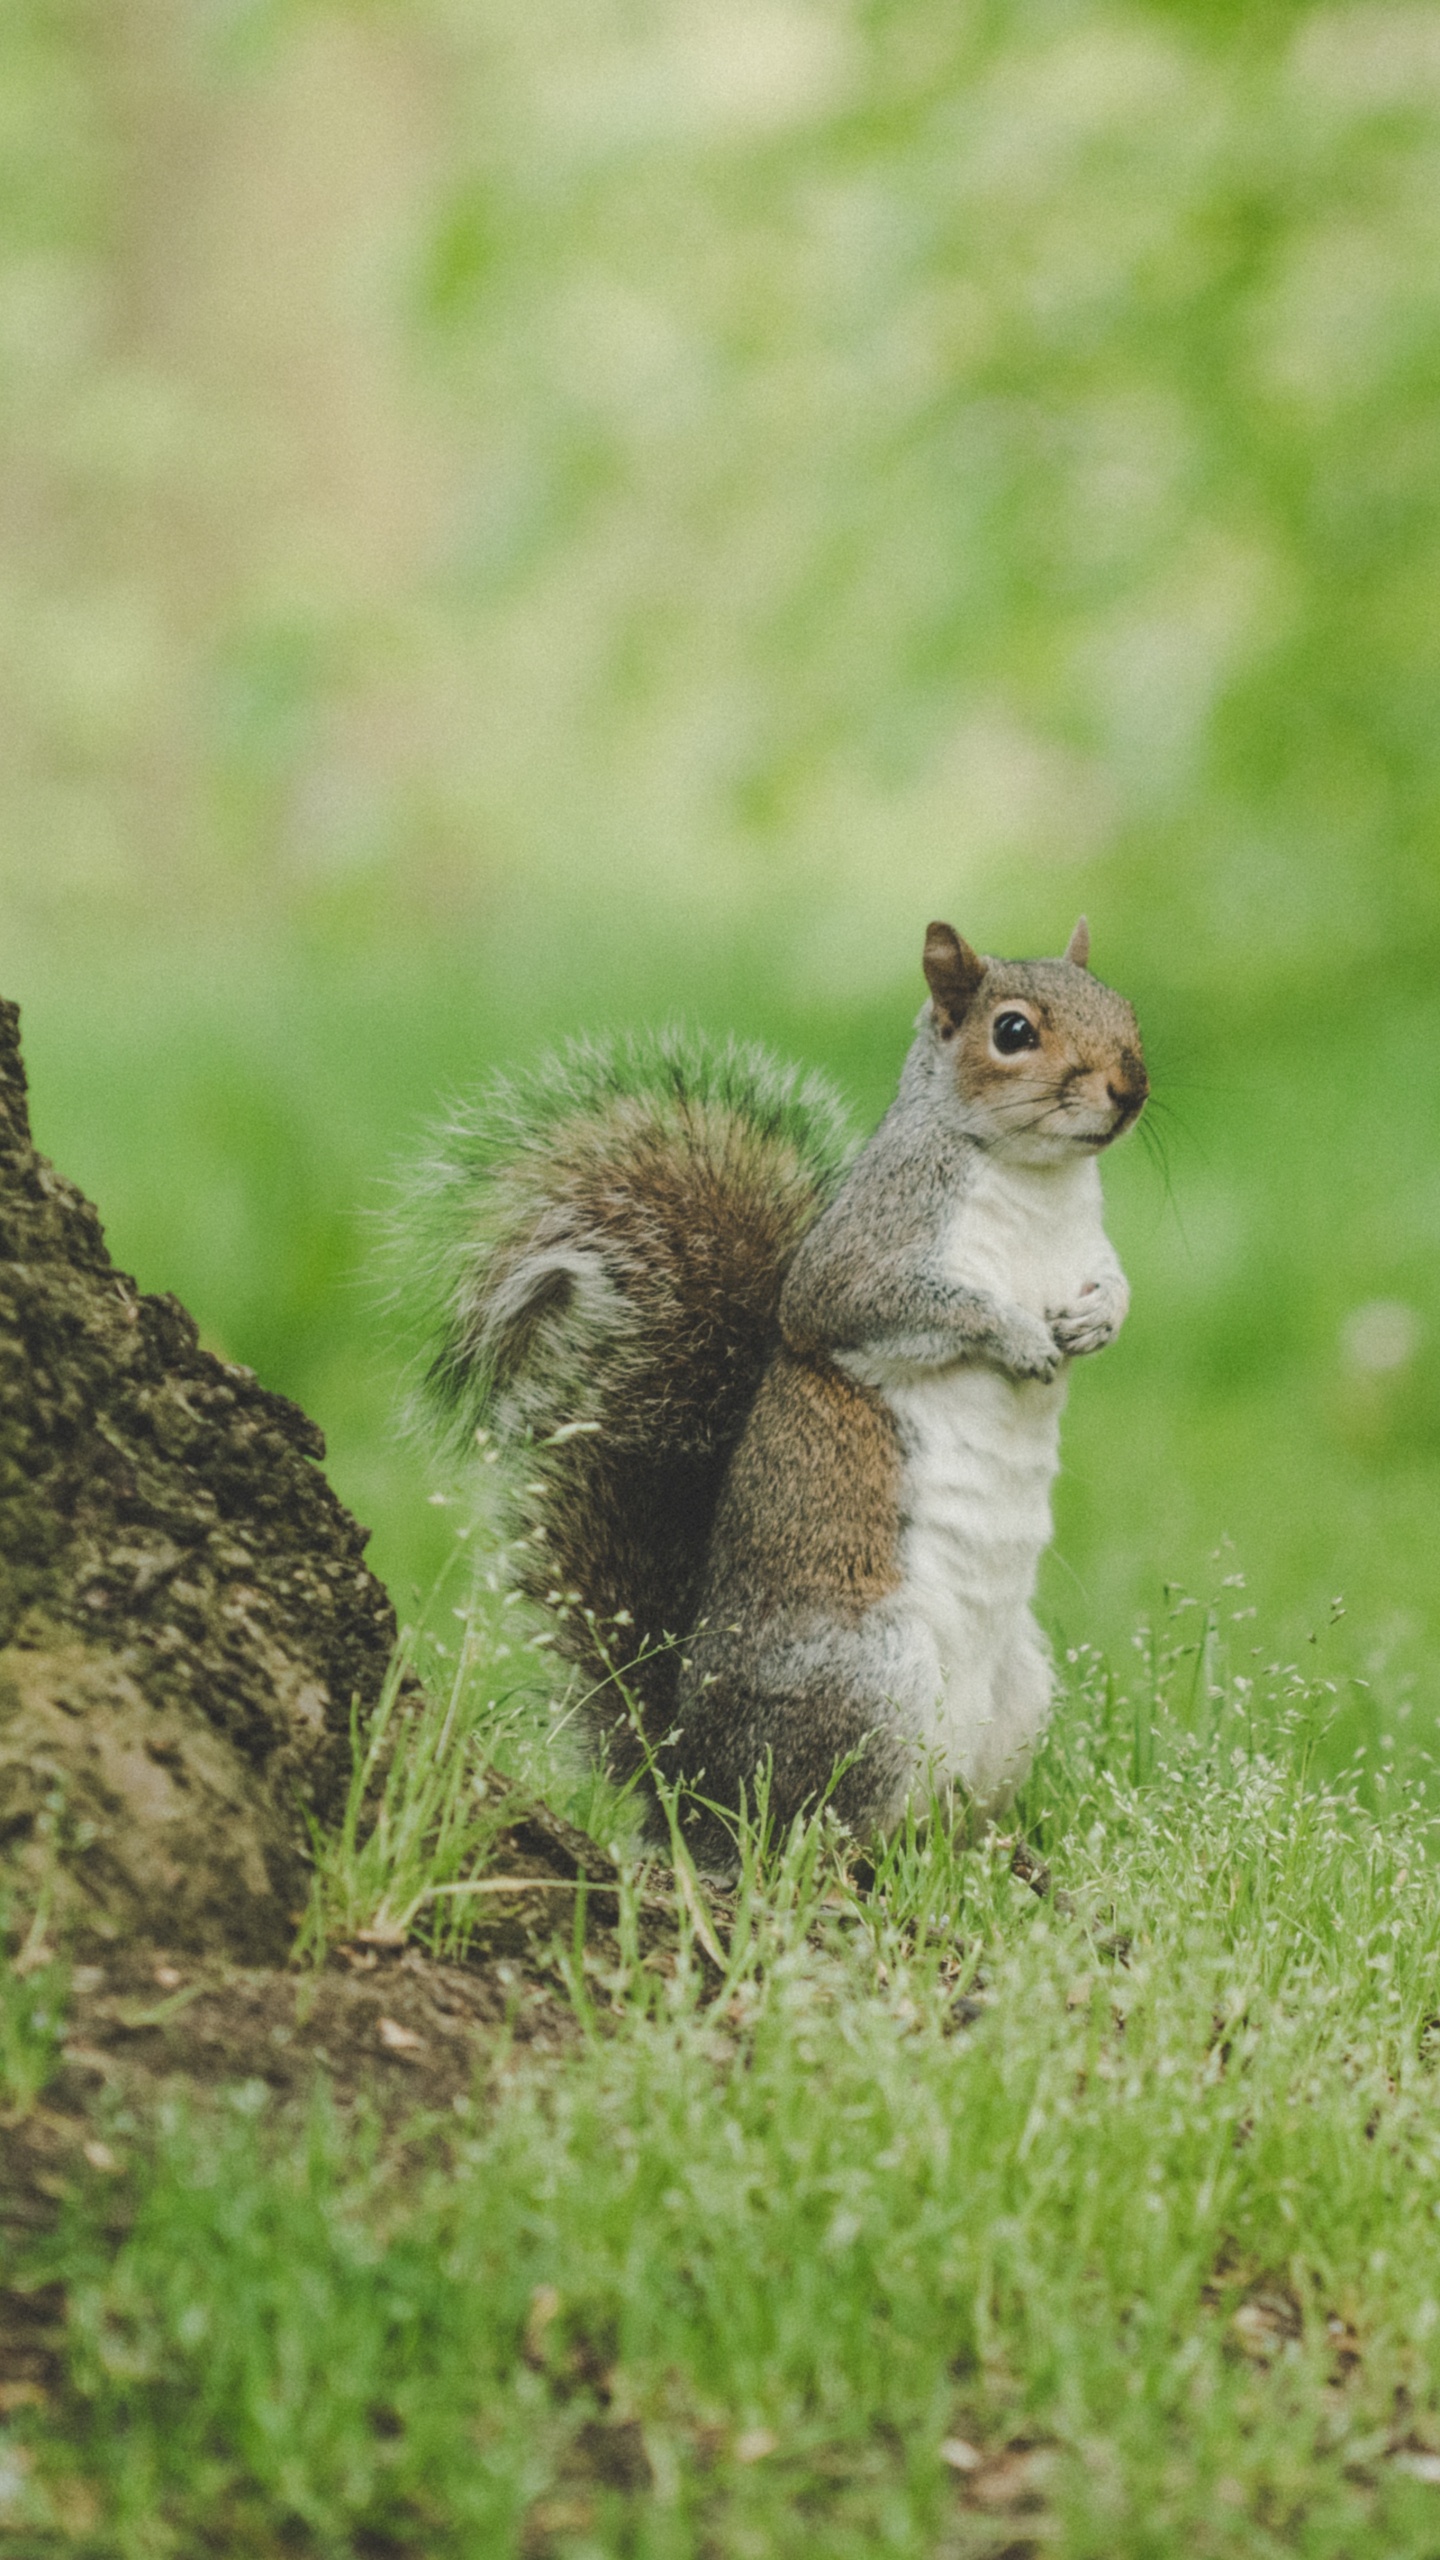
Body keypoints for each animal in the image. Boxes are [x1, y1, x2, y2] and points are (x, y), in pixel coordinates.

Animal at [401, 917, 1147, 1863]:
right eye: (1013, 1031)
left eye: (1126, 1007)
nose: (1131, 1088)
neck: (1037, 1181)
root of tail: (689, 1787)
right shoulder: (862, 1262)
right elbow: (905, 1305)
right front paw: (1016, 1336)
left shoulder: (1087, 1249)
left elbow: (1115, 1285)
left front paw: (1098, 1323)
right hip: (868, 1680)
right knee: (806, 1830)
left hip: (1017, 1697)